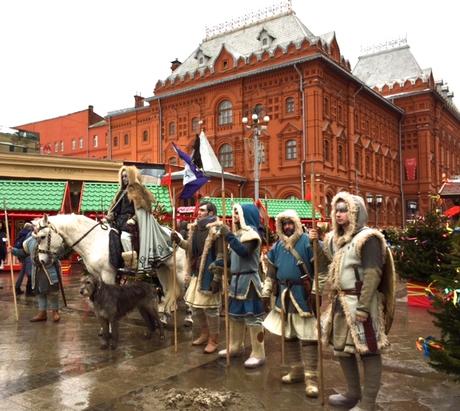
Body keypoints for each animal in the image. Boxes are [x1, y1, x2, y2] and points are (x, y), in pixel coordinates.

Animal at [33, 214, 187, 314]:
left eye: (42, 237)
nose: (41, 261)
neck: (93, 240)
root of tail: (176, 234)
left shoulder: (108, 274)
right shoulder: (96, 275)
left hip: (179, 270)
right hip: (163, 269)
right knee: (168, 289)